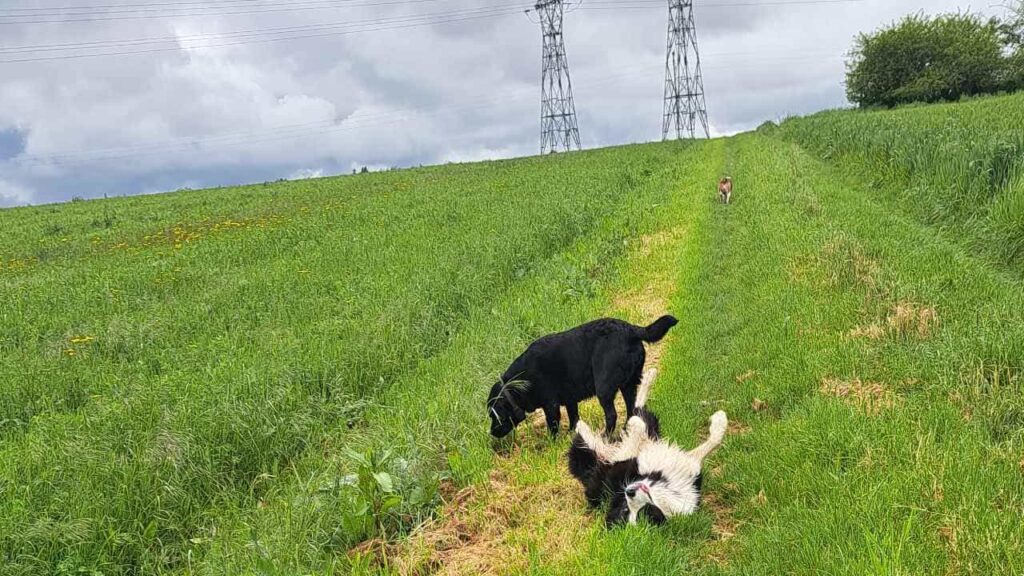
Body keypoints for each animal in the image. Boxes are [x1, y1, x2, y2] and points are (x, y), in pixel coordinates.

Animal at [487, 313, 679, 434]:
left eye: (494, 416)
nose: (492, 433)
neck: (520, 381)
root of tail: (630, 329)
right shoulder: (569, 400)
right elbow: (574, 418)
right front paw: (573, 433)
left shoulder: (551, 405)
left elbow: (553, 425)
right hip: (629, 385)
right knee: (631, 408)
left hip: (604, 387)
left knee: (612, 414)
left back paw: (606, 435)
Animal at [569, 366, 729, 524]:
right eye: (626, 509)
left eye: (642, 512)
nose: (629, 492)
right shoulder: (624, 463)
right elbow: (636, 429)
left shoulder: (688, 468)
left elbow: (714, 442)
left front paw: (720, 420)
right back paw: (581, 426)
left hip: (649, 431)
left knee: (637, 411)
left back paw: (649, 376)